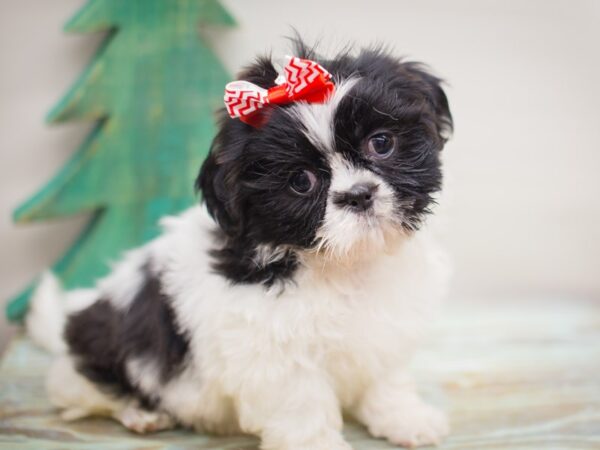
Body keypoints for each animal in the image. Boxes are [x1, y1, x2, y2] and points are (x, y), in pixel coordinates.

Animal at [25, 40, 452, 448]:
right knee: (87, 394)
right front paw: (319, 444)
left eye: (381, 143)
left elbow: (386, 381)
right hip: (105, 353)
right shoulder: (277, 357)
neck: (344, 264)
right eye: (301, 181)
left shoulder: (383, 334)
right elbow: (303, 408)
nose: (359, 195)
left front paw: (406, 419)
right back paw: (140, 413)